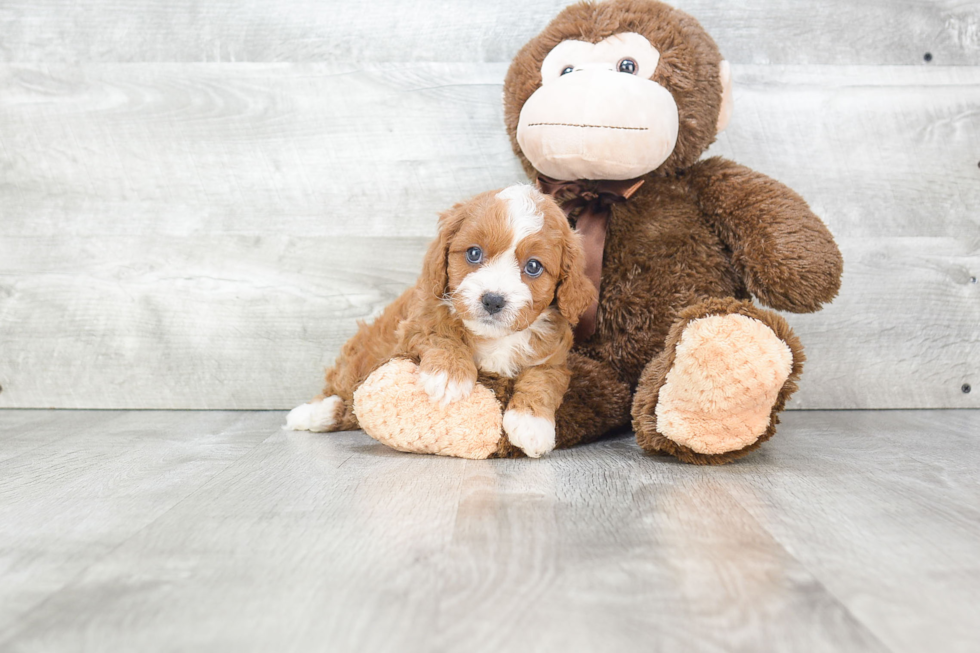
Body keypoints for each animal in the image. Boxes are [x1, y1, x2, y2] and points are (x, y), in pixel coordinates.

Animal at [284, 185, 588, 458]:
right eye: (474, 253)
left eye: (533, 266)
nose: (492, 300)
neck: (493, 337)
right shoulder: (416, 321)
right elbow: (440, 334)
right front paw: (449, 376)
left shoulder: (555, 356)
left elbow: (543, 379)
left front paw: (532, 424)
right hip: (361, 354)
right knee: (344, 389)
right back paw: (313, 413)